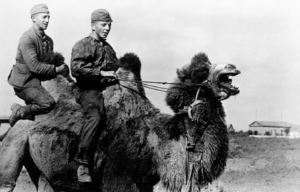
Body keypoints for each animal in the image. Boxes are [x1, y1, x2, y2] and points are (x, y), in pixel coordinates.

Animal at [0, 51, 240, 191]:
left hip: (47, 169)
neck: (157, 143)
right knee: (7, 181)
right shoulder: (118, 178)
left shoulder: (145, 183)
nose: (232, 66)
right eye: (201, 70)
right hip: (16, 139)